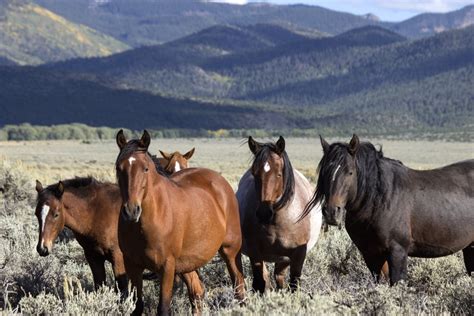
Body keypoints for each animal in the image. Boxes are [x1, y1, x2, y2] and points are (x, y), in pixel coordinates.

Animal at [115, 130, 244, 314]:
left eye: (145, 169)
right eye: (119, 168)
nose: (132, 211)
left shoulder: (167, 267)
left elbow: (163, 308)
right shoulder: (133, 265)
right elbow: (137, 306)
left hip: (230, 251)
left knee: (239, 287)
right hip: (187, 263)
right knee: (197, 293)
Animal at [304, 135, 474, 286]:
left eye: (350, 172)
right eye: (325, 172)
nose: (331, 212)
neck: (378, 199)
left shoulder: (397, 251)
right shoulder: (372, 254)